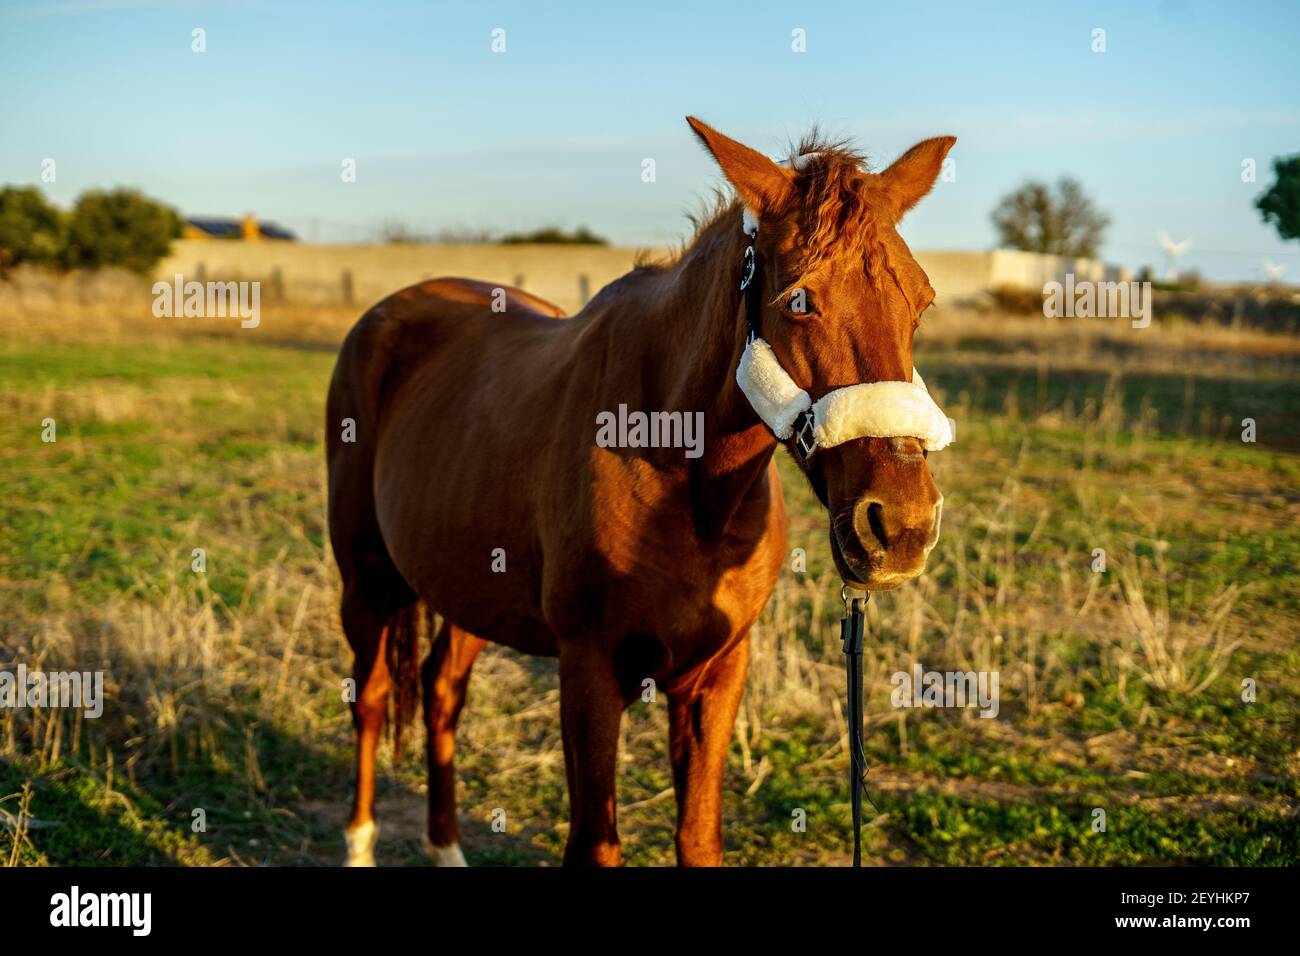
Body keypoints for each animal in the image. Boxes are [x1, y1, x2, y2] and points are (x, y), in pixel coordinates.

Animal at [325, 117, 954, 867]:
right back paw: (360, 843)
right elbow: (595, 845)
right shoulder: (588, 674)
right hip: (365, 579)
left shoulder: (719, 674)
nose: (901, 527)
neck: (686, 486)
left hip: (468, 586)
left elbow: (699, 837)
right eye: (798, 301)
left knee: (440, 689)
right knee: (370, 699)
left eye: (922, 302)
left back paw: (446, 847)